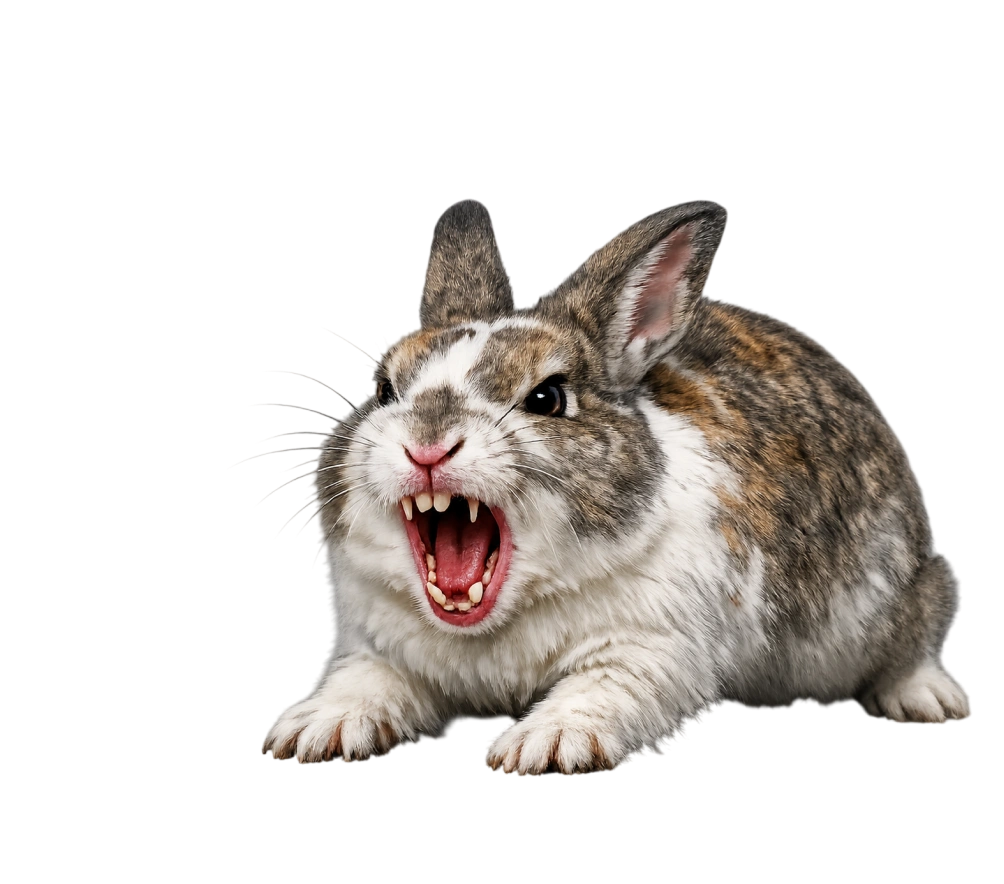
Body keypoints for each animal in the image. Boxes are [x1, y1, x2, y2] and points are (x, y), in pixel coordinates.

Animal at [260, 199, 971, 775]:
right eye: (385, 390)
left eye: (547, 398)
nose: (427, 445)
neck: (494, 625)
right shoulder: (378, 646)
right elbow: (364, 681)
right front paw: (314, 731)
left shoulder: (652, 649)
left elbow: (603, 692)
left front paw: (544, 746)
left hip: (899, 599)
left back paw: (928, 700)